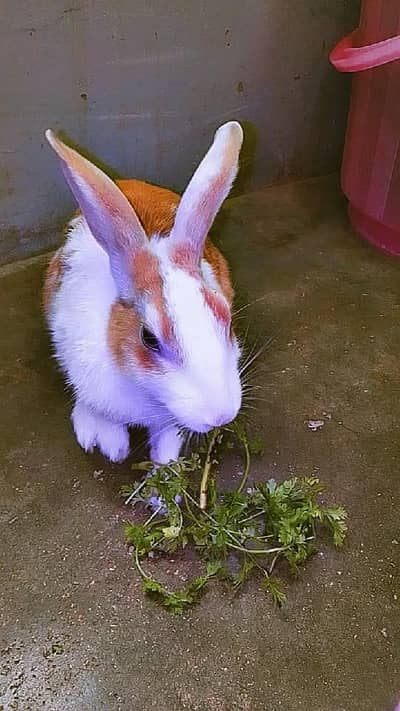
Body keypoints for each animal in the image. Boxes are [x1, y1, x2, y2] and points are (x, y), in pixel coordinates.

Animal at [43, 121, 243, 465]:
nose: (220, 416)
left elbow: (166, 437)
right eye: (149, 338)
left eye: (227, 319)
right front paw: (111, 446)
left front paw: (164, 466)